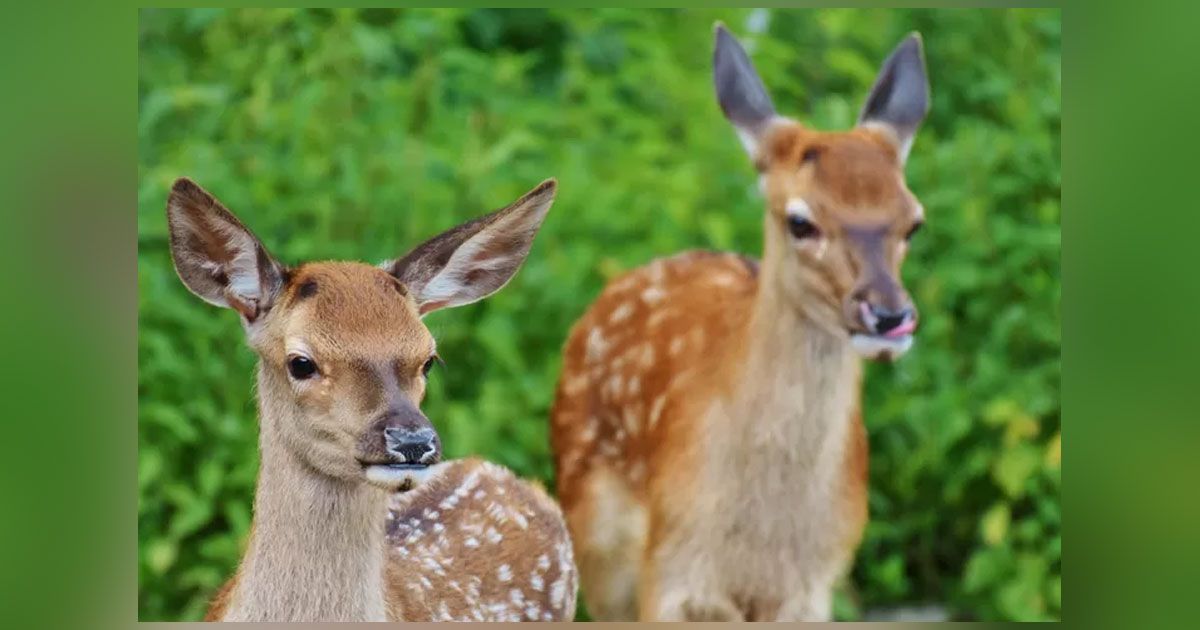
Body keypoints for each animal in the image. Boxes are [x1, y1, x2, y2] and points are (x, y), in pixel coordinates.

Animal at [549, 23, 931, 619]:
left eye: (913, 222)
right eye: (801, 221)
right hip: (595, 535)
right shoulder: (671, 571)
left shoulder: (813, 586)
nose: (889, 315)